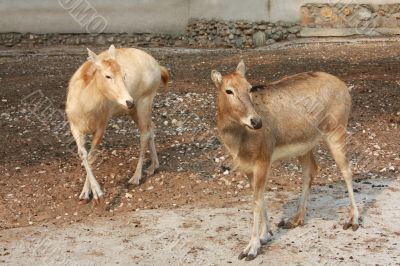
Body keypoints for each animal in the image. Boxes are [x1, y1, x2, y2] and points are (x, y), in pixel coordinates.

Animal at [65, 45, 167, 204]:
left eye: (124, 75)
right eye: (108, 76)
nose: (129, 101)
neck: (86, 109)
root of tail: (159, 67)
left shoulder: (102, 124)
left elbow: (92, 156)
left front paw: (97, 193)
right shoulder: (74, 125)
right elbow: (83, 154)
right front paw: (84, 194)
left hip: (145, 100)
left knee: (144, 133)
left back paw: (135, 177)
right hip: (135, 110)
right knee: (151, 127)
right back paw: (153, 166)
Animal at [211, 59, 360, 260]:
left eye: (249, 88)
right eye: (228, 90)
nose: (256, 121)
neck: (239, 143)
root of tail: (345, 87)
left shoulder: (263, 158)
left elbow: (256, 202)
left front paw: (251, 248)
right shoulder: (247, 167)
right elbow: (260, 198)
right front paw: (266, 235)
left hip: (336, 130)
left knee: (347, 170)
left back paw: (353, 220)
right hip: (305, 145)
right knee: (312, 169)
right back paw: (295, 219)